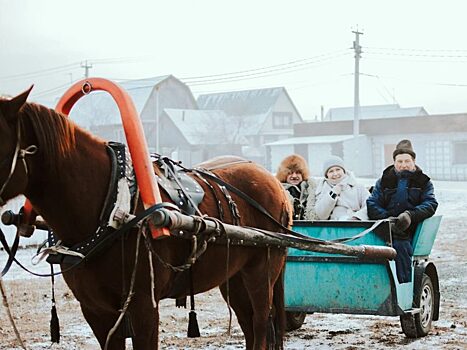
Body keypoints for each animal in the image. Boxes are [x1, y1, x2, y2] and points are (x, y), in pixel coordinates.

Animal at [0, 88, 292, 350]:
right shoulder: (96, 310)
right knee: (249, 324)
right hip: (234, 276)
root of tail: (276, 185)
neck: (111, 208)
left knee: (261, 326)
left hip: (262, 271)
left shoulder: (143, 307)